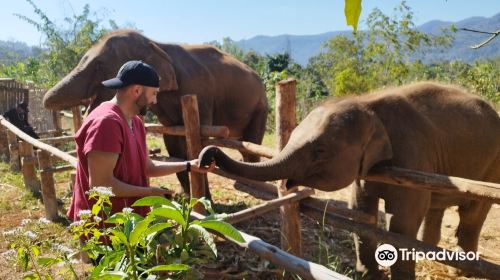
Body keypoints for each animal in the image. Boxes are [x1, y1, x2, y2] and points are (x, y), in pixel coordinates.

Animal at [44, 29, 268, 198]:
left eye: (99, 66)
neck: (155, 44)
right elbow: (173, 143)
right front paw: (186, 198)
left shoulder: (200, 93)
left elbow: (199, 142)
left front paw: (205, 204)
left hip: (260, 104)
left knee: (252, 140)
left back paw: (251, 185)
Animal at [199, 82, 500, 278]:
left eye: (320, 151)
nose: (206, 157)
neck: (369, 104)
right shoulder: (368, 171)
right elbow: (361, 212)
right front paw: (366, 274)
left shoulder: (412, 158)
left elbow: (402, 221)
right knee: (436, 209)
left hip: (491, 168)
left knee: (471, 213)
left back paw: (458, 270)